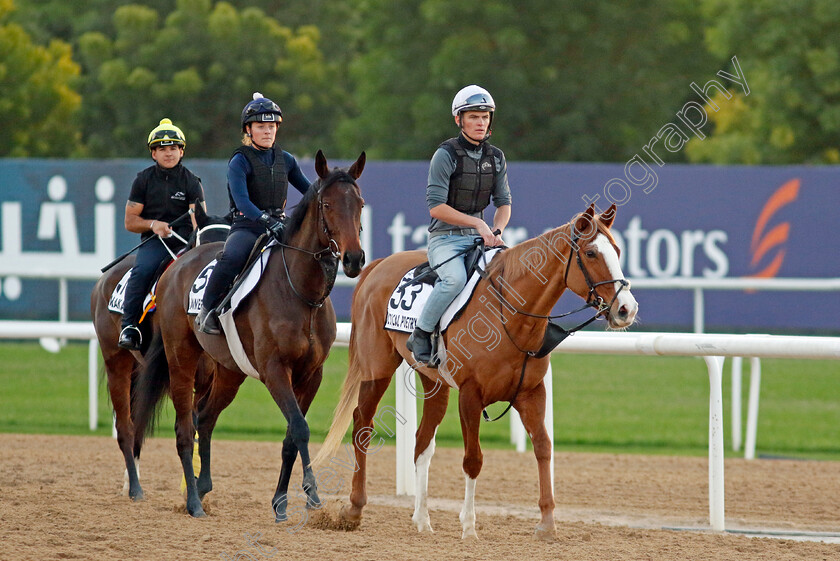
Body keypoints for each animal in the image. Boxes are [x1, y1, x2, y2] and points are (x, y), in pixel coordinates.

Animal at [88, 203, 230, 500]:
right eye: (204, 242)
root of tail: (103, 281)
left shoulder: (207, 377)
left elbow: (198, 422)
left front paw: (194, 486)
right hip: (116, 362)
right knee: (126, 426)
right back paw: (134, 487)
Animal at [134, 149, 364, 516]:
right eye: (327, 205)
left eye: (359, 203)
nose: (354, 258)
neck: (302, 292)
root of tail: (174, 268)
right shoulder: (274, 370)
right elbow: (300, 428)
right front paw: (312, 493)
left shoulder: (311, 374)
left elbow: (291, 435)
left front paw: (282, 500)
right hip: (181, 357)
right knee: (185, 427)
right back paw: (193, 501)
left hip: (229, 371)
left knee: (205, 417)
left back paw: (203, 485)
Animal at [314, 202, 636, 540]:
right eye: (591, 253)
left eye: (617, 250)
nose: (626, 309)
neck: (510, 315)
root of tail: (378, 265)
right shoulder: (470, 395)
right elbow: (473, 459)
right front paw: (469, 525)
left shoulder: (532, 393)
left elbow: (543, 448)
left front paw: (547, 522)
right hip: (377, 369)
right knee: (362, 425)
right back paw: (354, 509)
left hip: (434, 382)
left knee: (422, 442)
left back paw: (422, 519)